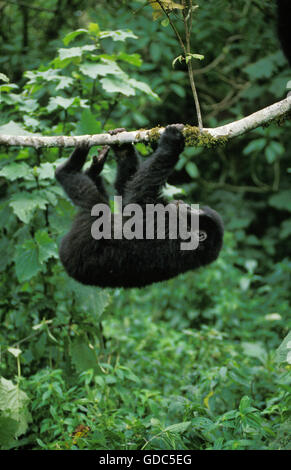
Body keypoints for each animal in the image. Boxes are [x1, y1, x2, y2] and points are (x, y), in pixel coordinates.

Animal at [55, 125, 224, 288]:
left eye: (192, 210)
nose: (183, 204)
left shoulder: (164, 225)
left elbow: (138, 196)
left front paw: (172, 141)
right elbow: (128, 190)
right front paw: (123, 149)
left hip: (82, 240)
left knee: (91, 201)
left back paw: (69, 168)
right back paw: (94, 169)